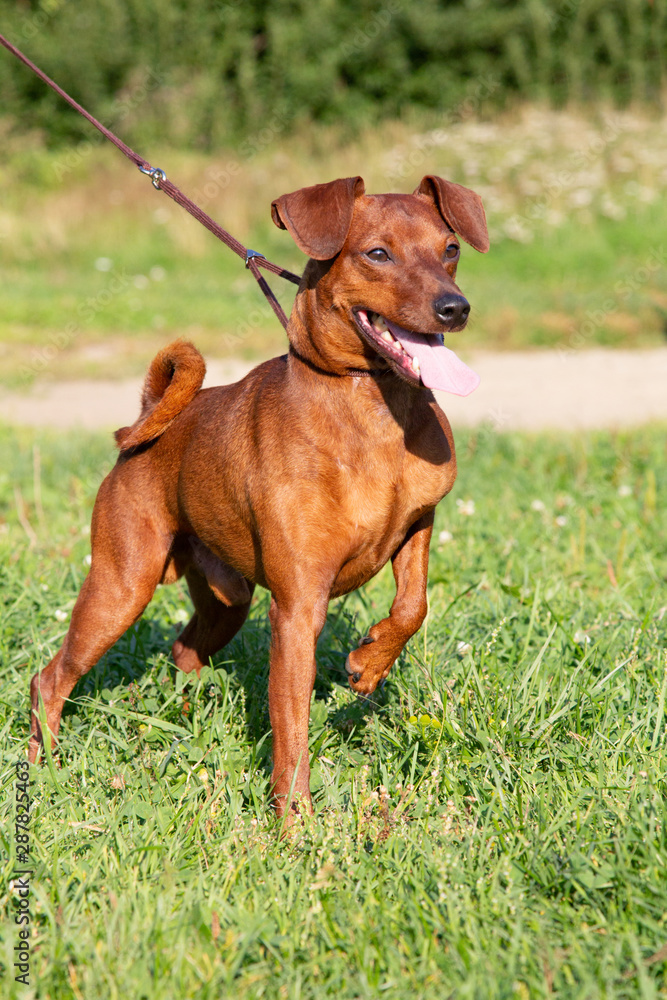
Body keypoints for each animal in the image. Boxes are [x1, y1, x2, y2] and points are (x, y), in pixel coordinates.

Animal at [30, 174, 489, 822]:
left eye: (450, 249)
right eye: (377, 253)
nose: (455, 306)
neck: (370, 407)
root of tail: (148, 424)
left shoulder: (418, 524)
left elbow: (413, 606)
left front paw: (369, 662)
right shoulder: (296, 610)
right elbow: (291, 731)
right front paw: (296, 826)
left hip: (229, 602)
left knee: (184, 650)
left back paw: (190, 718)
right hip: (121, 588)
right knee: (51, 680)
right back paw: (42, 767)